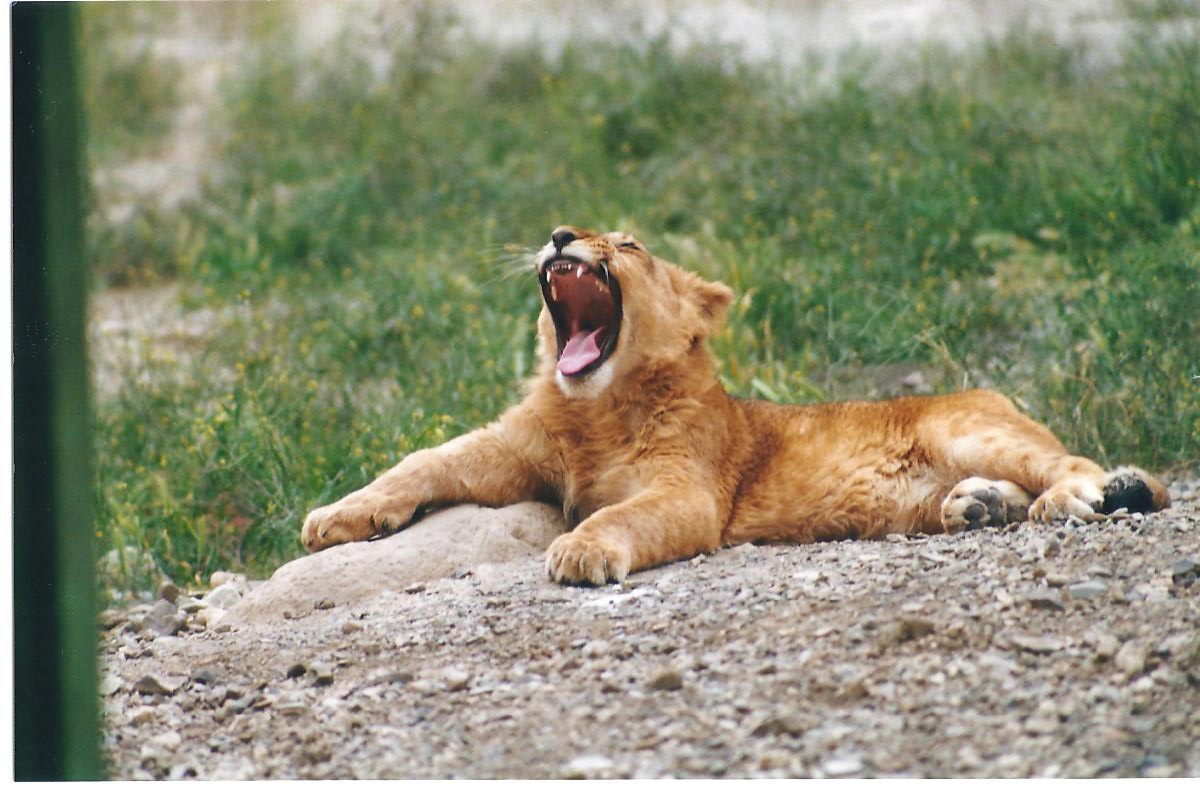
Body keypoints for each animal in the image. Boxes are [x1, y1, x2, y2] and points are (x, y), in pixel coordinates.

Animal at [301, 225, 1171, 585]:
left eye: (630, 245)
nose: (558, 235)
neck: (594, 412)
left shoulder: (688, 492)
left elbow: (621, 516)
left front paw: (581, 551)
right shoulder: (508, 449)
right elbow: (420, 462)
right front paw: (334, 518)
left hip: (972, 425)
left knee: (1078, 463)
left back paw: (1073, 497)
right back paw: (982, 507)